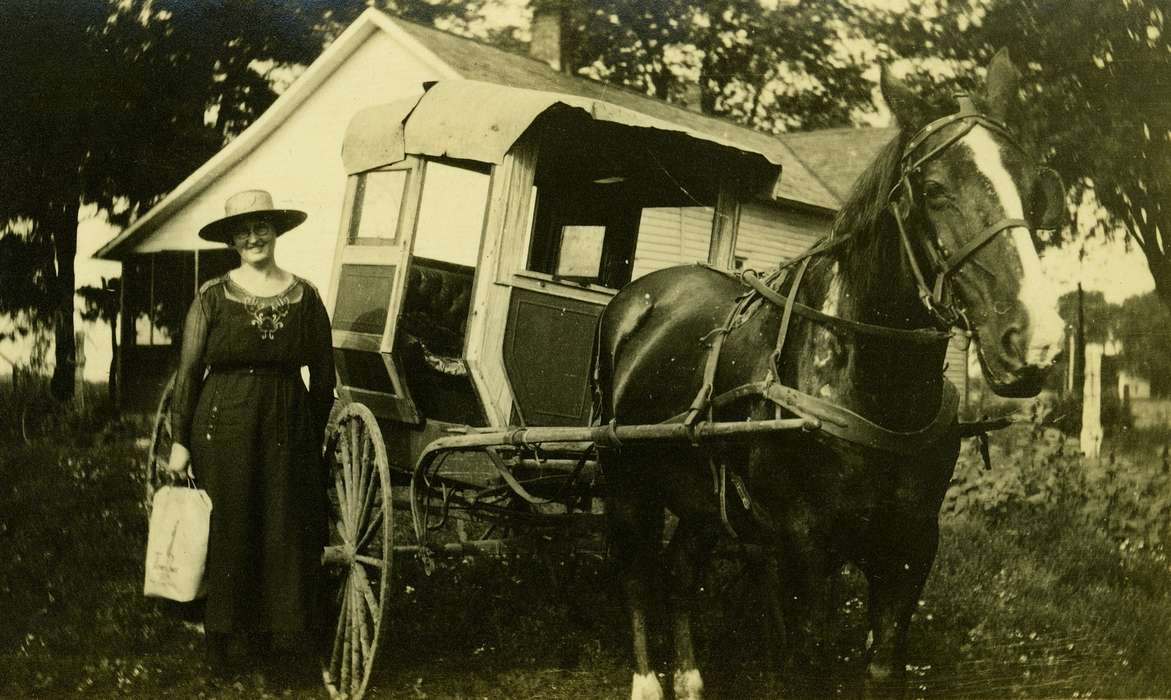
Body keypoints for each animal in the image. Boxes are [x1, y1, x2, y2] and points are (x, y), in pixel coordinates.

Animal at [594, 50, 1063, 700]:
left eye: (1032, 189)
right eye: (934, 190)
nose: (1035, 339)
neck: (871, 390)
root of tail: (637, 298)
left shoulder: (909, 549)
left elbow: (884, 665)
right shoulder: (804, 550)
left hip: (701, 494)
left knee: (682, 567)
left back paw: (689, 677)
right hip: (626, 481)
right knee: (637, 572)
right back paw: (648, 682)